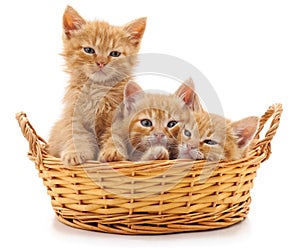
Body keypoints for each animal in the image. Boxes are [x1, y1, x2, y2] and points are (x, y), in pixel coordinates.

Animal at [47, 5, 147, 165]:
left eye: (114, 54)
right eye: (88, 50)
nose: (101, 62)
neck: (98, 89)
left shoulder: (119, 116)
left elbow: (114, 134)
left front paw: (113, 152)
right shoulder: (74, 114)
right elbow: (76, 135)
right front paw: (74, 153)